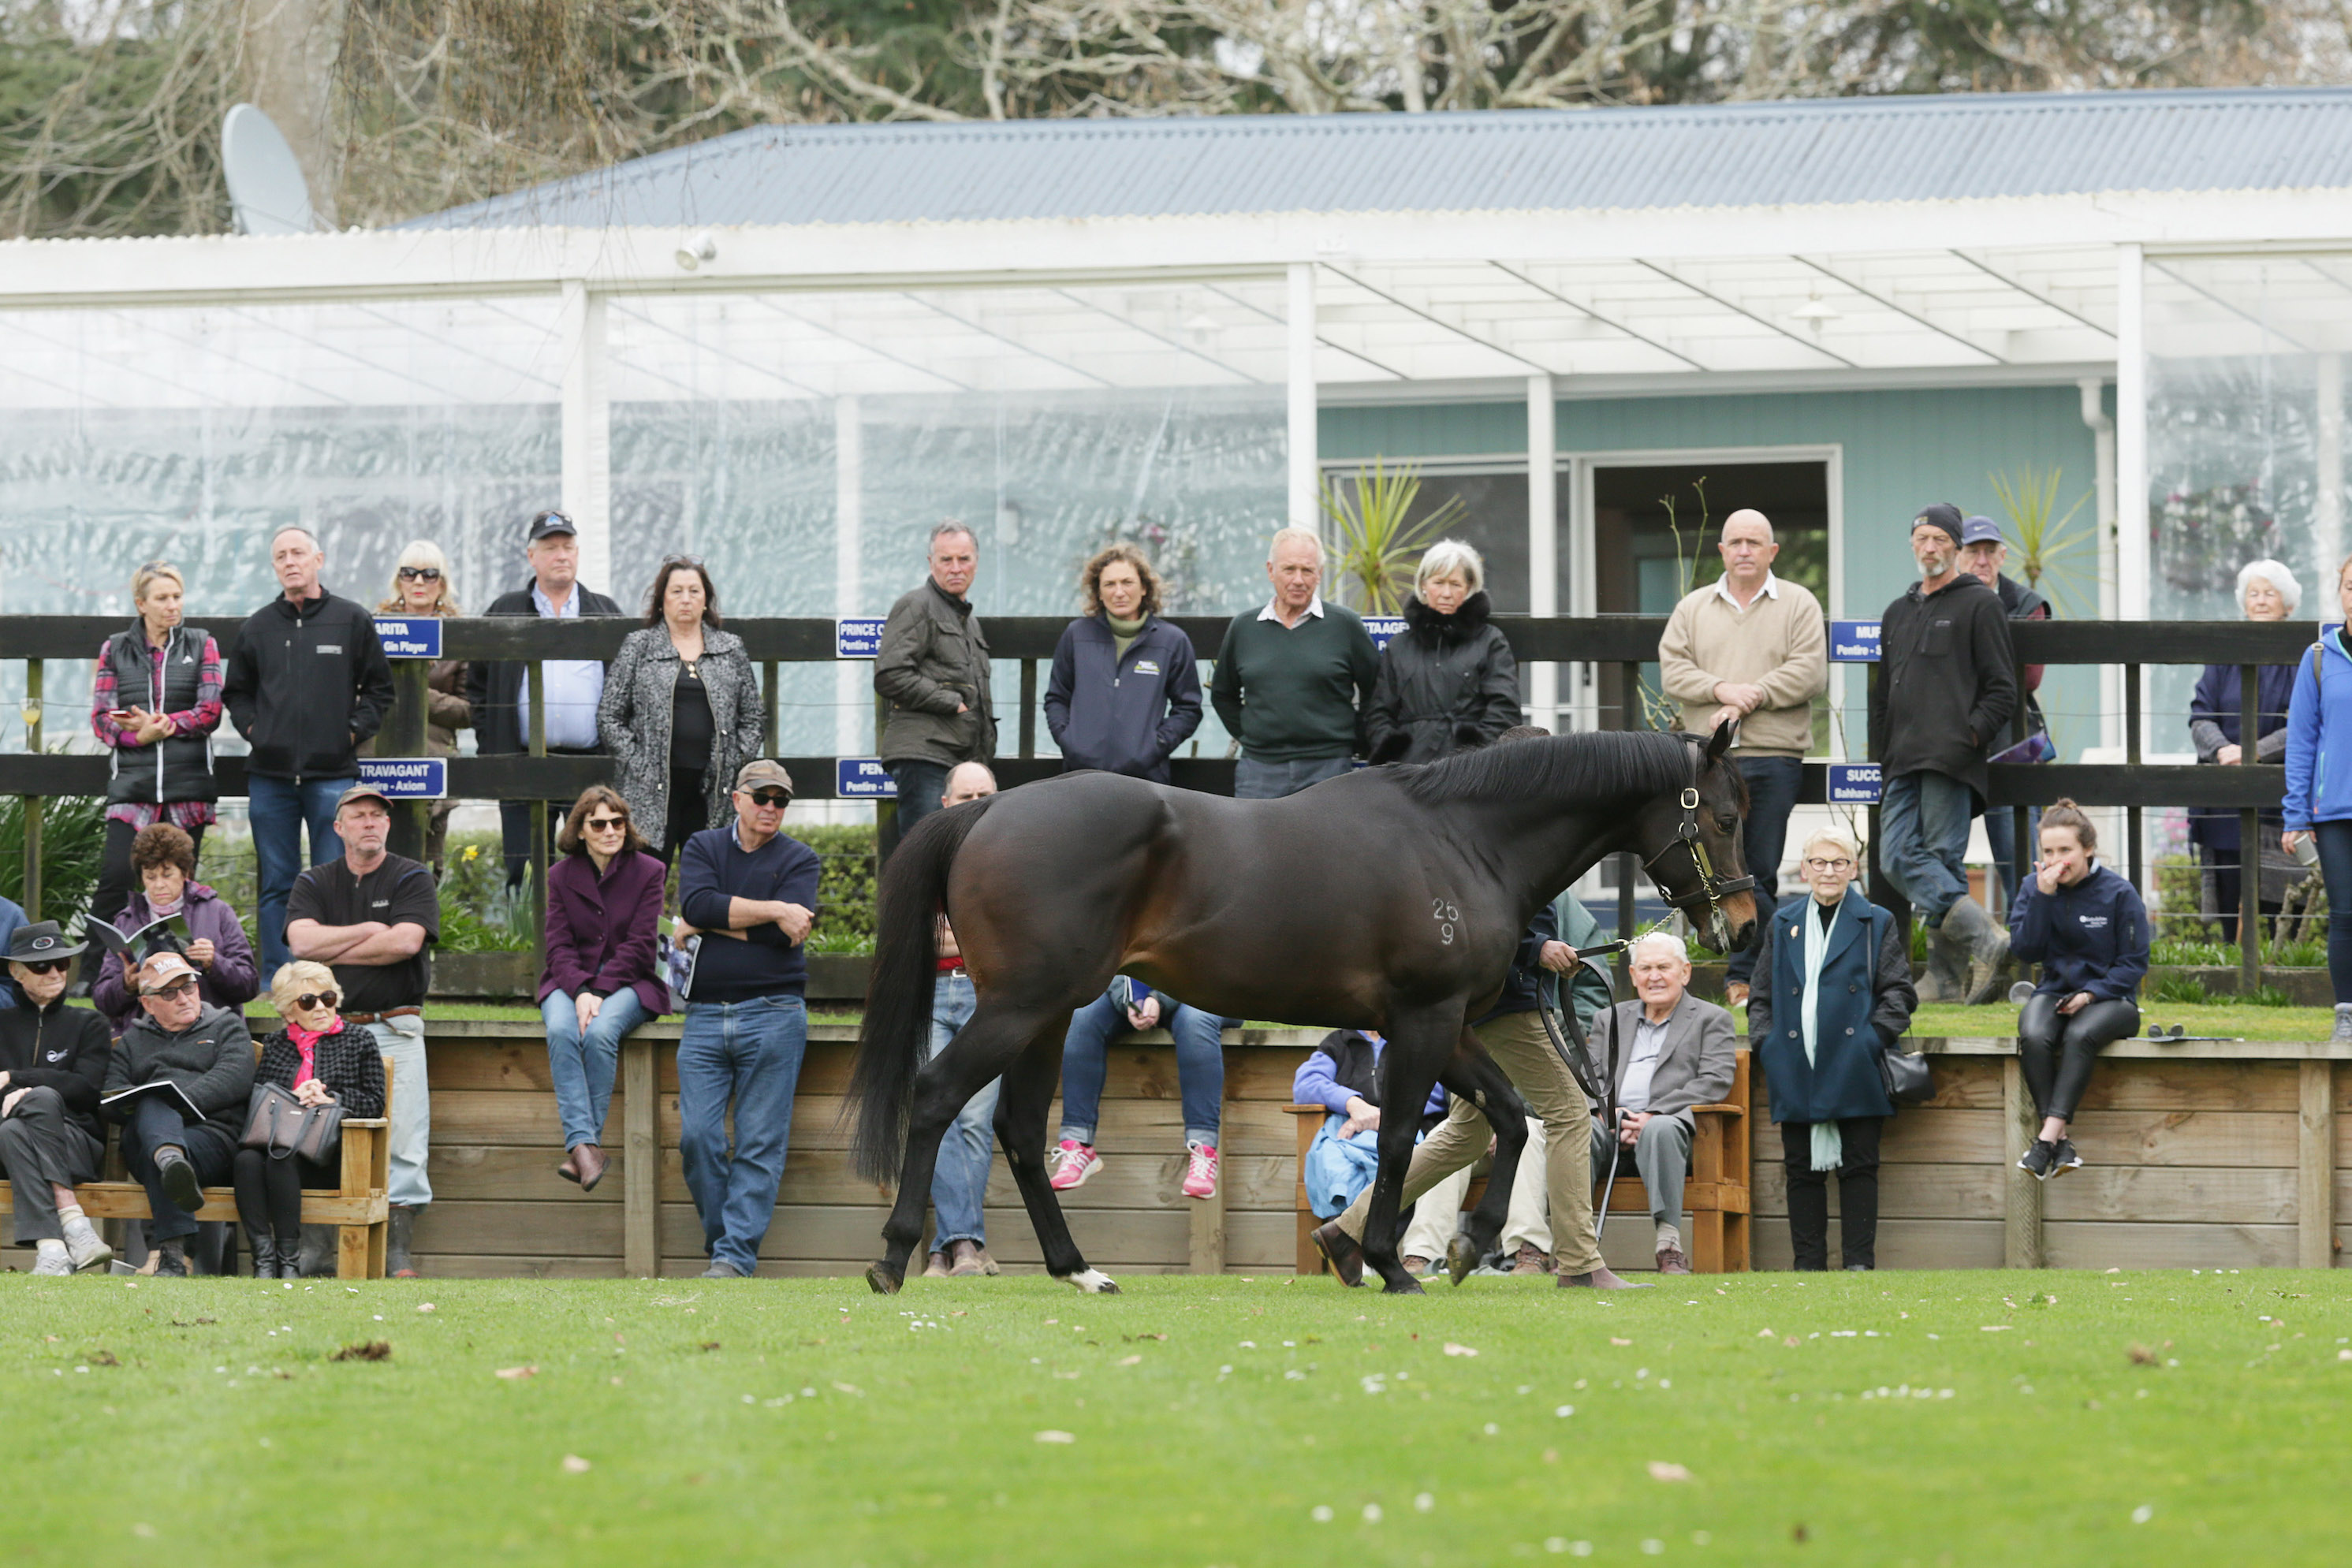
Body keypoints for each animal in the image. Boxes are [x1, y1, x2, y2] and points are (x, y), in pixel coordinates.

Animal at [855, 728, 1759, 1298]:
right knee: (936, 1096)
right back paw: (893, 1258)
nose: (1745, 925)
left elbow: (1504, 1116)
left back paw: (1078, 1268)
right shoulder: (1424, 1019)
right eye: (1723, 816)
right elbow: (1397, 1138)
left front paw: (1468, 1243)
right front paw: (1390, 1262)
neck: (1461, 838)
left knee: (1016, 1130)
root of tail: (985, 810)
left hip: (1045, 1015)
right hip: (1021, 1006)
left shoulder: (1444, 1023)